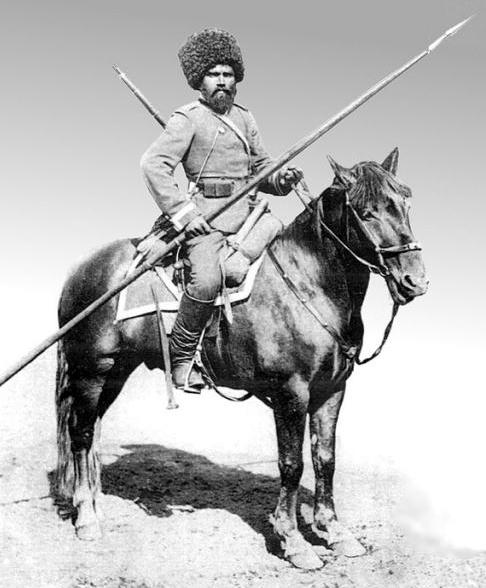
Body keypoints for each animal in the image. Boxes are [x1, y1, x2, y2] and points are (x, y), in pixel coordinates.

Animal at [55, 148, 428, 568]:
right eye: (366, 212)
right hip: (91, 371)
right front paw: (293, 540)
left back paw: (92, 505)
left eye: (405, 202)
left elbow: (325, 459)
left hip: (115, 373)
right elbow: (292, 464)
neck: (309, 283)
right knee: (81, 434)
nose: (415, 281)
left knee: (91, 430)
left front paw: (334, 531)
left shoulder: (332, 390)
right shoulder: (291, 393)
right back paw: (86, 517)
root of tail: (81, 270)